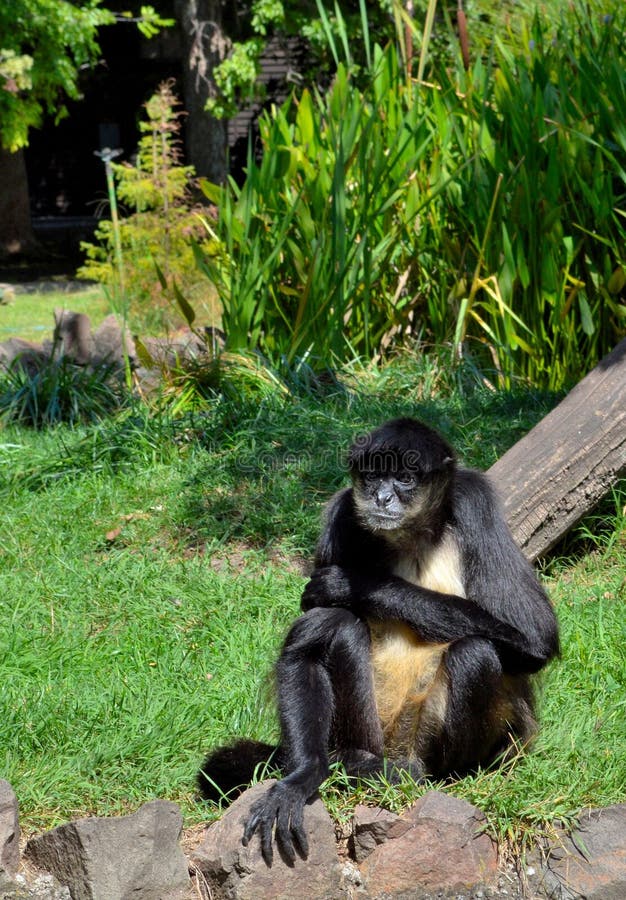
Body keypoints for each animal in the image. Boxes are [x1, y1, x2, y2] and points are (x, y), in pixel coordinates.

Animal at [198, 418, 559, 865]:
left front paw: (360, 586)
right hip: (373, 730)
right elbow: (305, 641)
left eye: (404, 478)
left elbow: (535, 638)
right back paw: (356, 763)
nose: (383, 498)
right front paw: (302, 777)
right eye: (372, 477)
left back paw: (447, 774)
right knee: (337, 625)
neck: (410, 537)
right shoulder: (341, 514)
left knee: (475, 651)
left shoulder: (475, 504)